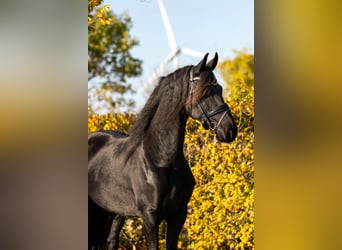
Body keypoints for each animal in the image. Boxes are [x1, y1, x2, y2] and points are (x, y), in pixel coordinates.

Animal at [89, 52, 238, 248]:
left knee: (111, 241)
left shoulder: (178, 215)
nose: (230, 130)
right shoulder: (150, 217)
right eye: (204, 92)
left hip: (116, 212)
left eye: (219, 89)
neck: (161, 160)